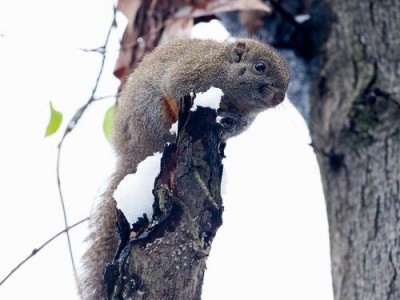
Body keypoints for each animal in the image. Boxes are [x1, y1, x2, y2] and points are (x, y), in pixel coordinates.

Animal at [79, 38, 290, 298]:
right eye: (260, 67)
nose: (280, 97)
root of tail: (130, 154)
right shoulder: (191, 73)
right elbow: (176, 87)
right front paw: (221, 113)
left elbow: (234, 125)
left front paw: (227, 124)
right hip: (150, 115)